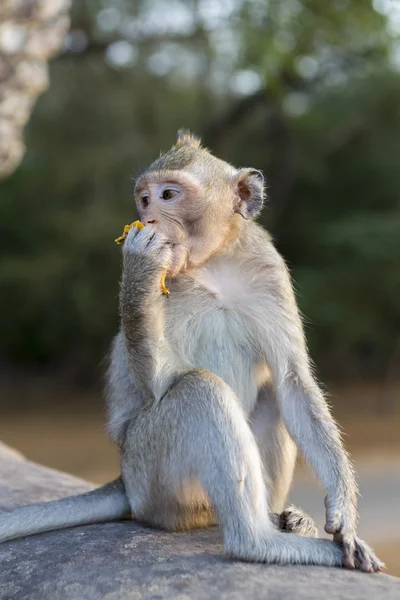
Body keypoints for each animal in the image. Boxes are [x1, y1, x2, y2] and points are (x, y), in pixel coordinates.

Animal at [0, 131, 382, 572]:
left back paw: (280, 518)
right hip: (150, 473)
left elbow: (291, 380)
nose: (148, 219)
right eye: (144, 199)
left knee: (271, 391)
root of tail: (125, 480)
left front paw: (344, 511)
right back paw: (257, 541)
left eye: (168, 195)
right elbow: (163, 382)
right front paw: (140, 260)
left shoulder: (269, 270)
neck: (212, 263)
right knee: (200, 389)